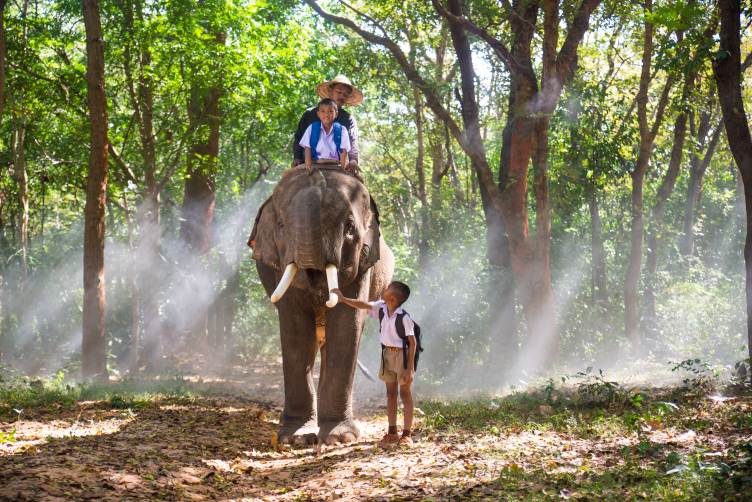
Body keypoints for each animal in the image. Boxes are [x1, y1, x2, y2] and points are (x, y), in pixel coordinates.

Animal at [251, 167, 396, 446]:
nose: (318, 281)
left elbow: (346, 324)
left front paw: (340, 438)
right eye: (281, 225)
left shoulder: (362, 264)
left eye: (349, 228)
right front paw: (294, 438)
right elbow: (296, 328)